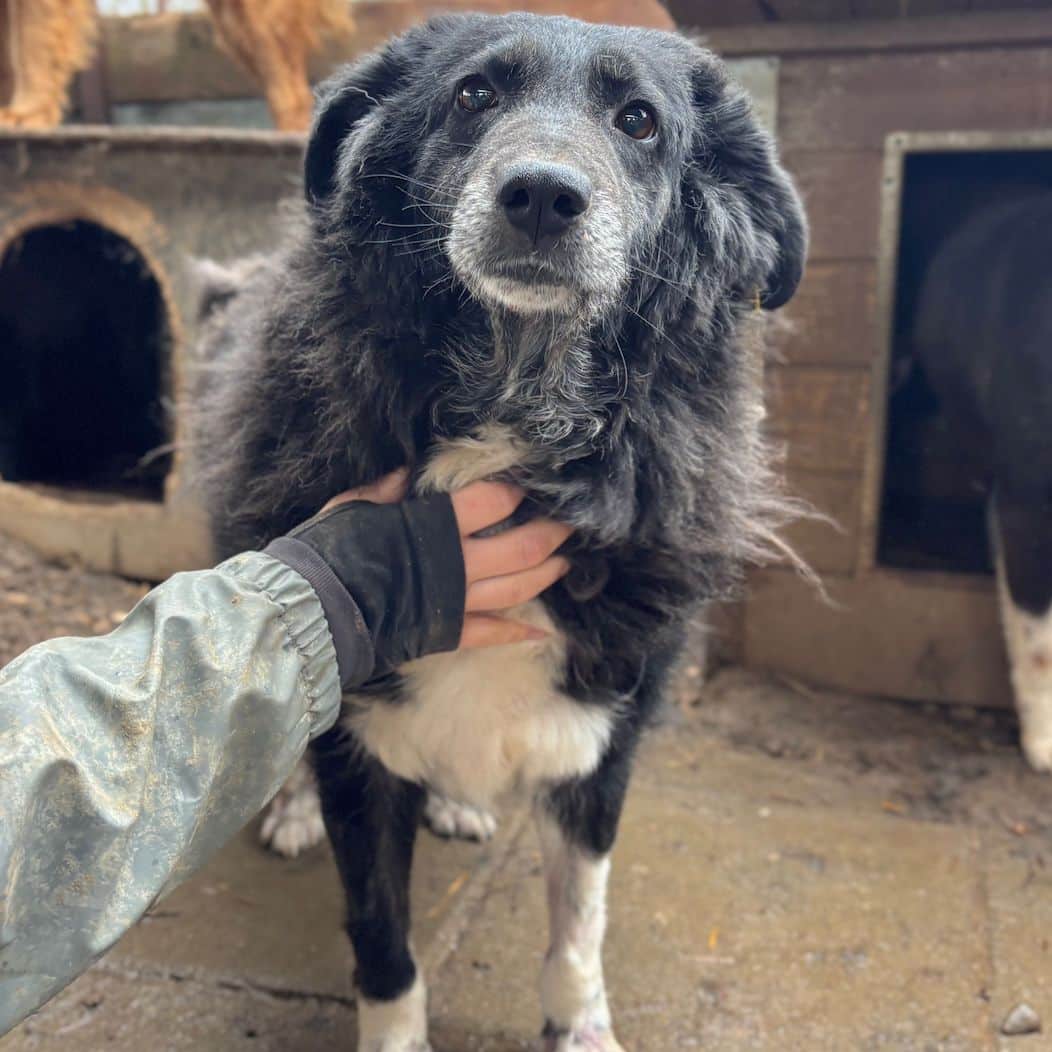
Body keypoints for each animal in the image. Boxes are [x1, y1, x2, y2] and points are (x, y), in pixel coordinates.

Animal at [192, 13, 807, 1049]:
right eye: (474, 94)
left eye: (639, 120)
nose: (543, 197)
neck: (515, 401)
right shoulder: (360, 754)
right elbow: (384, 940)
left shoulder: (606, 734)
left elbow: (579, 924)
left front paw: (582, 1027)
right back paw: (291, 808)